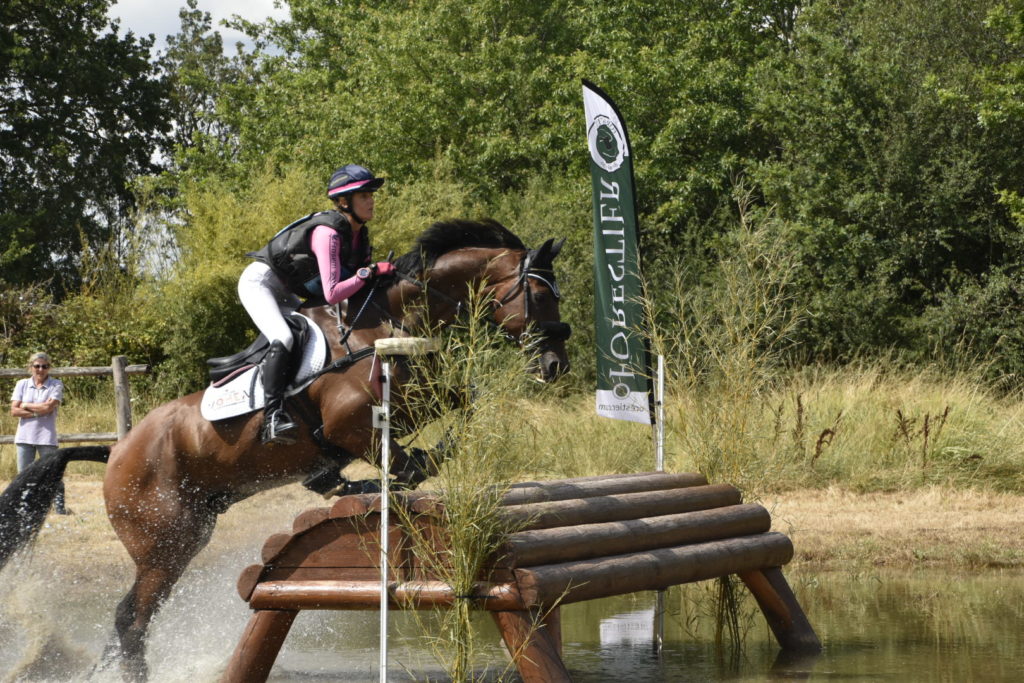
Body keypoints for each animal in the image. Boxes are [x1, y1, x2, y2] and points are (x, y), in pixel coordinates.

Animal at [0, 219, 569, 679]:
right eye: (541, 297)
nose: (555, 366)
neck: (390, 324)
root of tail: (116, 451)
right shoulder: (350, 423)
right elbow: (401, 458)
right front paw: (368, 478)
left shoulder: (419, 398)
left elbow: (464, 403)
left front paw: (389, 470)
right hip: (164, 544)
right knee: (131, 618)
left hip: (190, 533)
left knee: (130, 617)